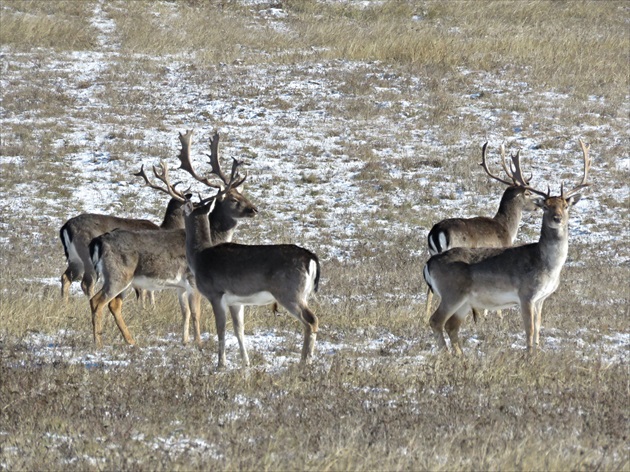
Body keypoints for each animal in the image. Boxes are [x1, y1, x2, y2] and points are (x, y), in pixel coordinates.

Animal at [58, 196, 188, 302]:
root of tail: (66, 226)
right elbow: (146, 291)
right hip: (88, 258)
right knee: (87, 283)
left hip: (75, 259)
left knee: (66, 277)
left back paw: (64, 304)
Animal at [87, 131, 258, 348]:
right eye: (233, 199)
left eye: (243, 193)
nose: (254, 209)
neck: (211, 240)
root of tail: (97, 242)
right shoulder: (192, 280)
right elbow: (196, 313)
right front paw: (198, 342)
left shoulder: (180, 287)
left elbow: (185, 313)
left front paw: (184, 340)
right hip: (117, 274)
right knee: (97, 301)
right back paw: (98, 342)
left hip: (122, 278)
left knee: (114, 304)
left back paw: (130, 340)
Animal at [143, 129, 320, 368]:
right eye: (234, 198)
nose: (253, 209)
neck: (200, 256)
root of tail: (311, 258)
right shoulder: (237, 301)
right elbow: (239, 330)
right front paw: (246, 363)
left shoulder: (215, 293)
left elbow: (221, 330)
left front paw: (220, 364)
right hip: (302, 293)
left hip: (289, 292)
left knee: (311, 320)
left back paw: (305, 362)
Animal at [424, 143, 540, 320]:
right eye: (527, 193)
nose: (537, 206)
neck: (507, 229)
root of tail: (436, 232)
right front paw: (497, 315)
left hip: (431, 253)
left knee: (429, 288)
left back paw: (424, 315)